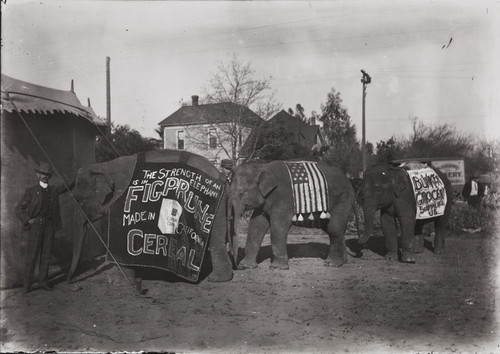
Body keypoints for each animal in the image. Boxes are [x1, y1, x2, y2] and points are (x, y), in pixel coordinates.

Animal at [67, 149, 236, 284]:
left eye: (79, 199)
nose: (70, 281)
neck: (103, 165)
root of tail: (223, 177)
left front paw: (122, 282)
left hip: (214, 205)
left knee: (216, 240)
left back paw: (216, 279)